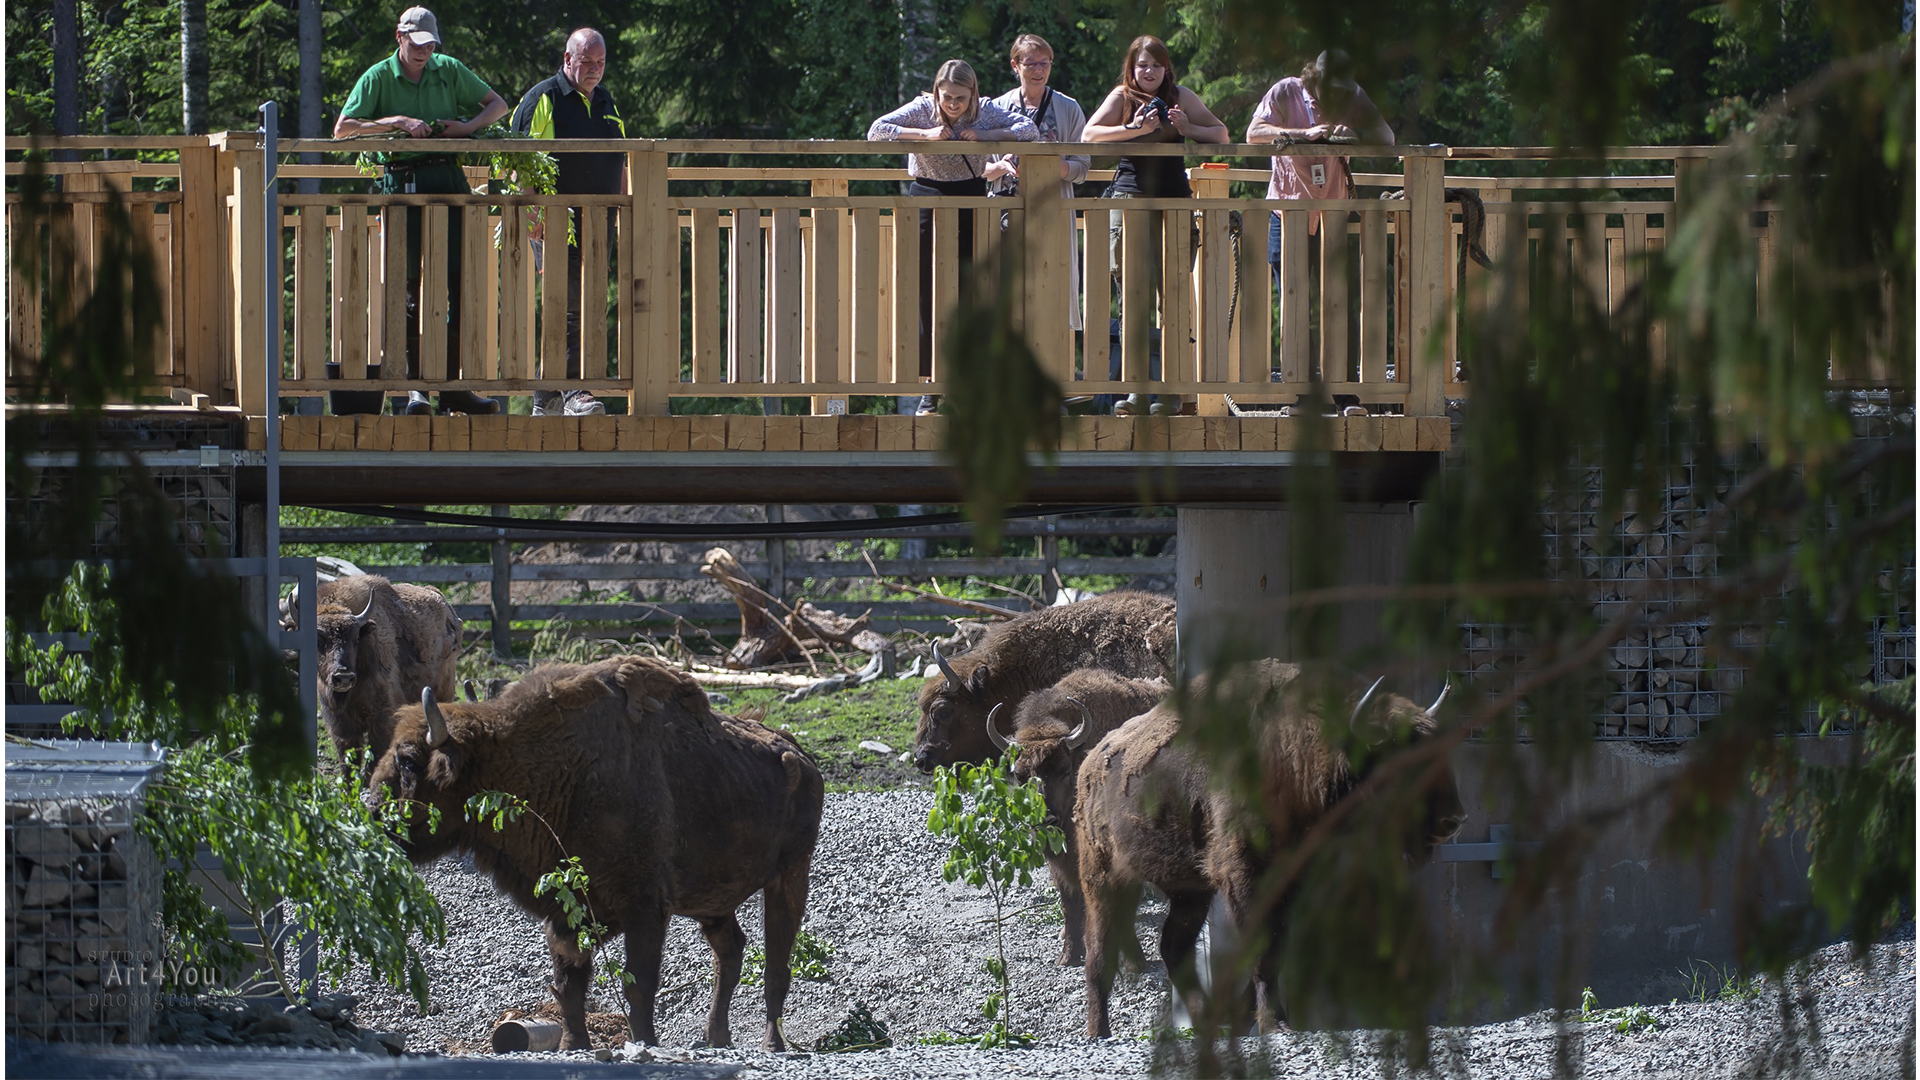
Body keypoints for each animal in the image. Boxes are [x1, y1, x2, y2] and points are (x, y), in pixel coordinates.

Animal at [362, 653, 821, 1045]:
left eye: (408, 759)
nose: (370, 811)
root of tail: (803, 758)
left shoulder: (644, 905)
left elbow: (638, 983)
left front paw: (644, 1042)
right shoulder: (567, 909)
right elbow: (569, 985)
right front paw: (574, 1043)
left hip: (790, 877)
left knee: (776, 965)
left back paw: (772, 1043)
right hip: (714, 902)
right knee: (730, 953)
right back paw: (716, 1037)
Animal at [990, 668, 1167, 960]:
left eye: (1064, 769)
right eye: (1020, 775)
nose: (1045, 820)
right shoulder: (1060, 864)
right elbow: (1068, 902)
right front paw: (1068, 954)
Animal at [1075, 657, 1459, 1037]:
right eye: (1402, 761)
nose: (1453, 820)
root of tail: (1090, 762)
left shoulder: (1291, 877)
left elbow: (1277, 945)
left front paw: (1253, 1017)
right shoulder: (1244, 875)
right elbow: (1264, 948)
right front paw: (1273, 1021)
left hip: (1190, 890)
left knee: (1174, 947)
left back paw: (1206, 1022)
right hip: (1105, 878)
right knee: (1099, 953)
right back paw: (1099, 1032)